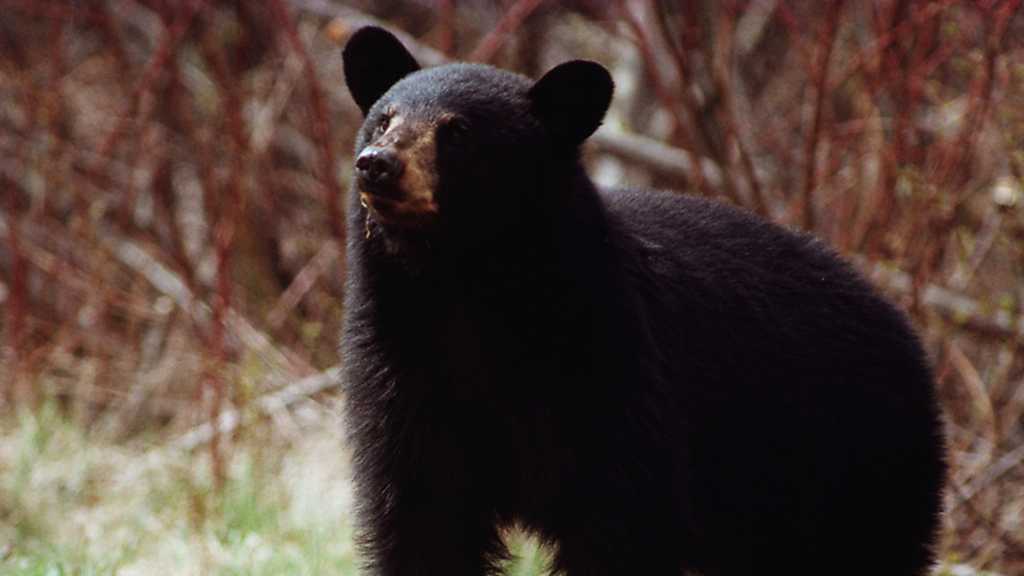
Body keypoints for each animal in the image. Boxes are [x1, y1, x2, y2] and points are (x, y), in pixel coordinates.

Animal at [339, 25, 946, 573]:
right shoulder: (404, 377)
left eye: (458, 131)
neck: (465, 287)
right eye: (385, 117)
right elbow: (425, 520)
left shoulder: (614, 372)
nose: (377, 163)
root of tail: (900, 323)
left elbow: (624, 522)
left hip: (856, 463)